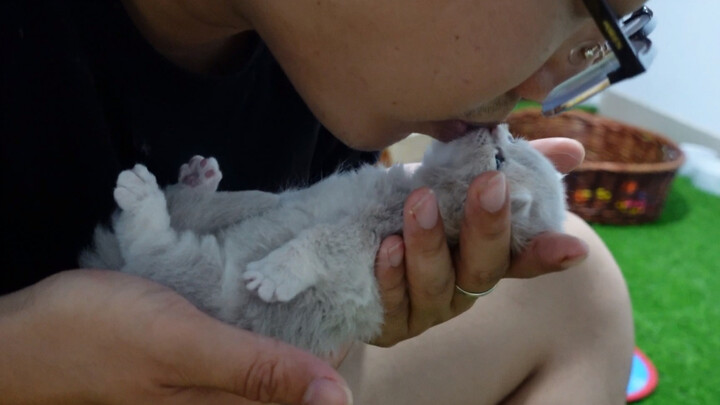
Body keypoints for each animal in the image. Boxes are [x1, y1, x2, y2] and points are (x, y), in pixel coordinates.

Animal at [79, 124, 564, 356]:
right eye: (508, 143)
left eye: (499, 160)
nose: (495, 125)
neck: (415, 188)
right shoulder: (285, 201)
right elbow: (260, 201)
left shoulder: (370, 235)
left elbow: (323, 237)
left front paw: (277, 270)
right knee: (190, 207)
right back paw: (197, 181)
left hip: (208, 282)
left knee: (151, 246)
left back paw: (142, 197)